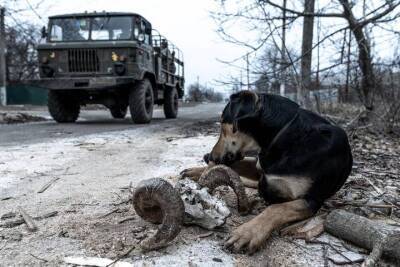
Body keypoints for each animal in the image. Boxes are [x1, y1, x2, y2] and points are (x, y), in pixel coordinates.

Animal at [182, 91, 354, 254]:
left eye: (223, 123)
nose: (209, 156)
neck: (286, 137)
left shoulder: (312, 200)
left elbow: (276, 208)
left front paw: (248, 232)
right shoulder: (259, 166)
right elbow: (235, 165)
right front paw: (198, 171)